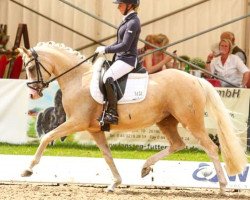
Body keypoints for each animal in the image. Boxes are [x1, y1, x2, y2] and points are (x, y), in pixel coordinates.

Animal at [19, 41, 246, 193]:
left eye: (30, 67)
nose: (32, 95)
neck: (78, 79)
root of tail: (195, 79)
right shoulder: (94, 129)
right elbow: (108, 156)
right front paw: (115, 183)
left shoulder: (76, 122)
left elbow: (47, 137)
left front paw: (27, 170)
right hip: (166, 121)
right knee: (178, 144)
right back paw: (145, 168)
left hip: (191, 122)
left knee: (211, 148)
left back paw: (222, 186)